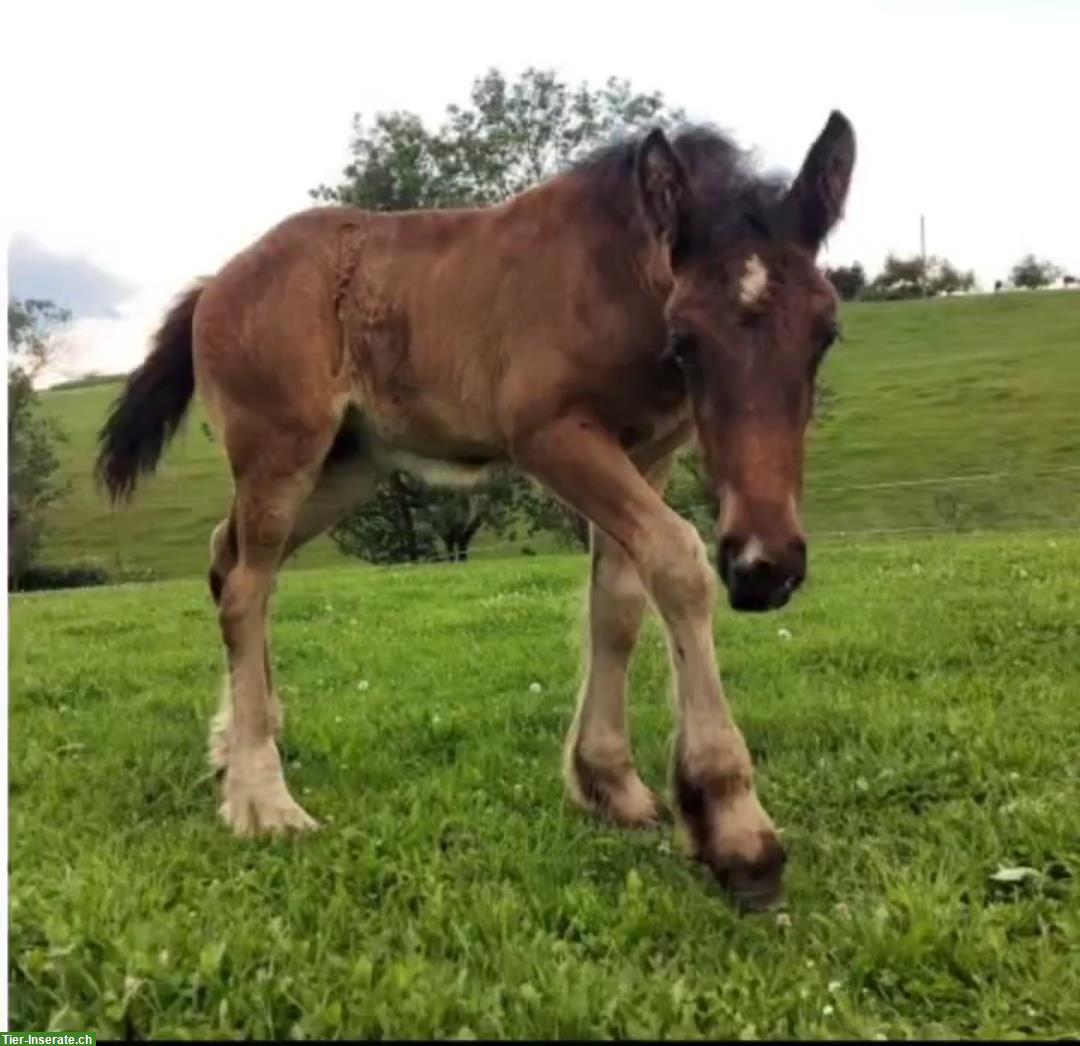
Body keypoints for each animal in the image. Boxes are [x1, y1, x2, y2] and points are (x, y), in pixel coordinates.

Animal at [101, 107, 859, 906]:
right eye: (685, 338)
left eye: (826, 332)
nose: (765, 566)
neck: (610, 275)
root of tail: (217, 283)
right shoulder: (551, 436)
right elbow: (678, 562)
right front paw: (734, 826)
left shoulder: (647, 452)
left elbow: (618, 600)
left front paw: (610, 783)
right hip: (282, 451)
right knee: (246, 588)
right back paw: (263, 797)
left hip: (346, 468)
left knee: (231, 558)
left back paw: (240, 743)